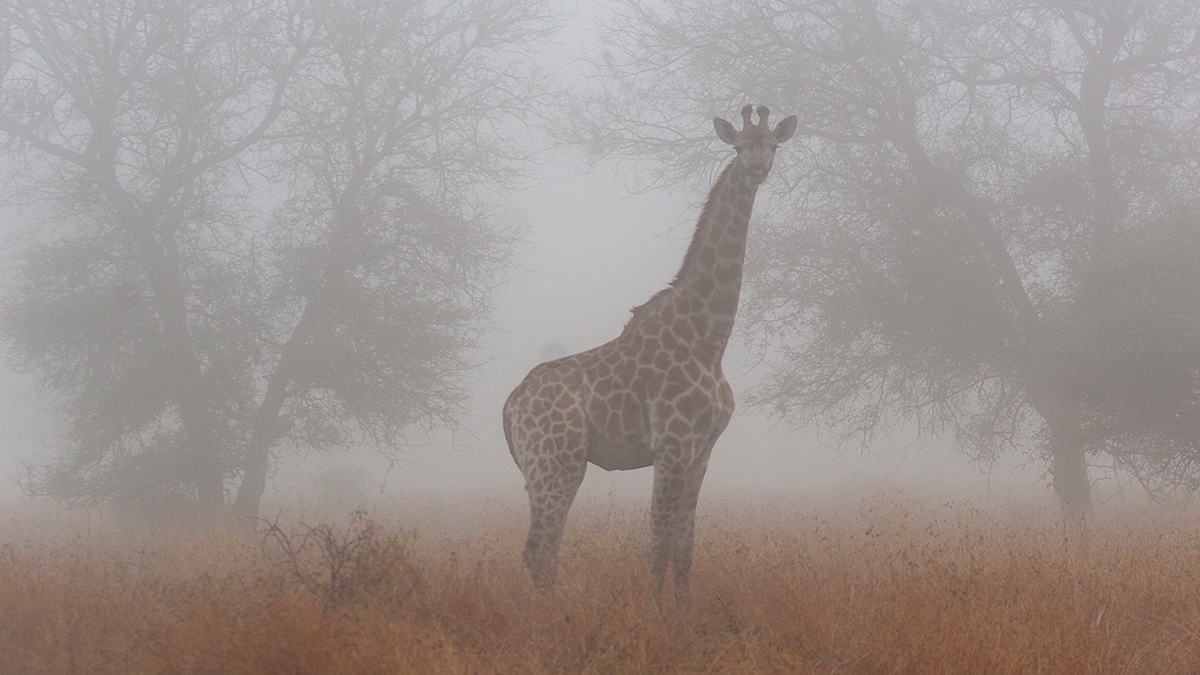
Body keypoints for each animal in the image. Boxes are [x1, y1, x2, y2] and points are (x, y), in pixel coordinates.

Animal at [503, 105, 797, 603]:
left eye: (774, 145)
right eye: (740, 145)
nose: (758, 169)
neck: (710, 337)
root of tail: (510, 405)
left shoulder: (702, 451)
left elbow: (685, 546)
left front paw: (682, 612)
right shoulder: (672, 445)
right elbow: (657, 543)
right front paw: (654, 615)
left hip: (542, 470)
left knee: (540, 551)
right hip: (557, 465)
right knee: (538, 550)